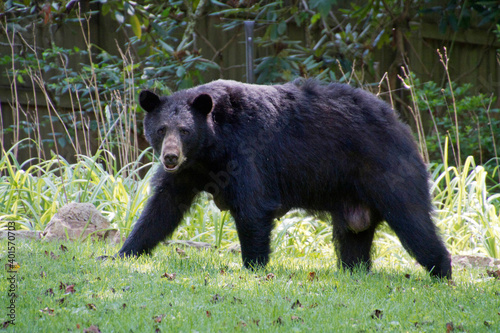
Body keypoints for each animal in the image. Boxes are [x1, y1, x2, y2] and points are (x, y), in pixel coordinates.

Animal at [118, 80, 454, 278]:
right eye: (161, 129)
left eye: (185, 130)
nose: (170, 157)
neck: (211, 148)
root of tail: (402, 125)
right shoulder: (190, 171)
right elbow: (163, 207)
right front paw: (125, 252)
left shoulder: (249, 151)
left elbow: (252, 207)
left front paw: (252, 266)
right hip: (353, 200)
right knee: (353, 237)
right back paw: (354, 271)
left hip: (386, 169)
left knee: (413, 220)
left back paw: (442, 271)